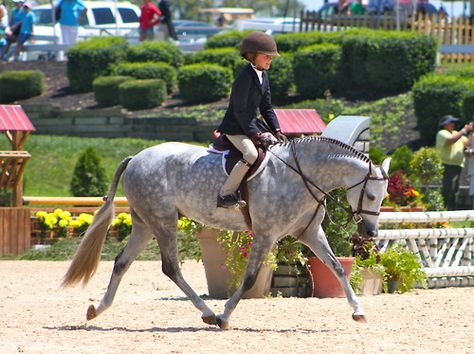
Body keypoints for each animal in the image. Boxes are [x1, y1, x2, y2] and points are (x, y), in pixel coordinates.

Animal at [62, 136, 388, 330]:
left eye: (382, 197)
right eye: (372, 195)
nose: (369, 232)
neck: (299, 176)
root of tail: (136, 158)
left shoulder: (309, 233)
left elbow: (337, 268)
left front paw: (358, 311)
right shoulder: (266, 234)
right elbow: (250, 278)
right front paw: (224, 316)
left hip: (145, 224)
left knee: (122, 262)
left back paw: (98, 309)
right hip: (163, 221)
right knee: (170, 267)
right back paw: (208, 313)